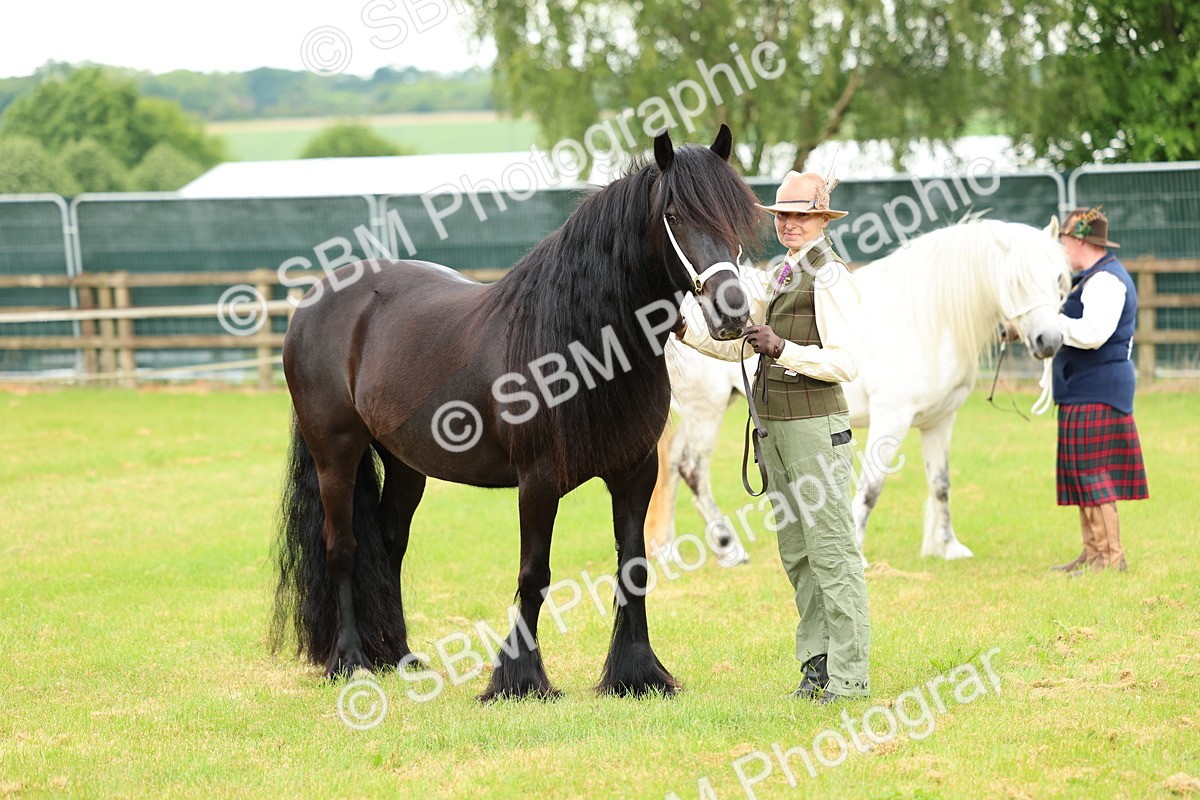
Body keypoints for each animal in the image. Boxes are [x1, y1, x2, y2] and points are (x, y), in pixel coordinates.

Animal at [270, 125, 763, 700]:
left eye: (737, 217)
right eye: (676, 215)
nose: (732, 314)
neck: (583, 343)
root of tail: (316, 300)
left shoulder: (635, 474)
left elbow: (633, 568)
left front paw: (637, 674)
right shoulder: (538, 481)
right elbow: (534, 575)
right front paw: (519, 679)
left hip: (406, 465)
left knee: (390, 546)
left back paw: (398, 655)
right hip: (336, 454)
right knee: (343, 547)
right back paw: (350, 661)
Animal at [646, 217, 1070, 564]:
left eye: (1059, 279)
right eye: (1017, 280)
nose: (1049, 341)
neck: (926, 319)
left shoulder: (939, 421)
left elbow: (941, 484)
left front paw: (948, 547)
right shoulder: (892, 418)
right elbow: (871, 487)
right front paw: (860, 551)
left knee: (674, 468)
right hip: (706, 408)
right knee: (692, 469)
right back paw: (727, 546)